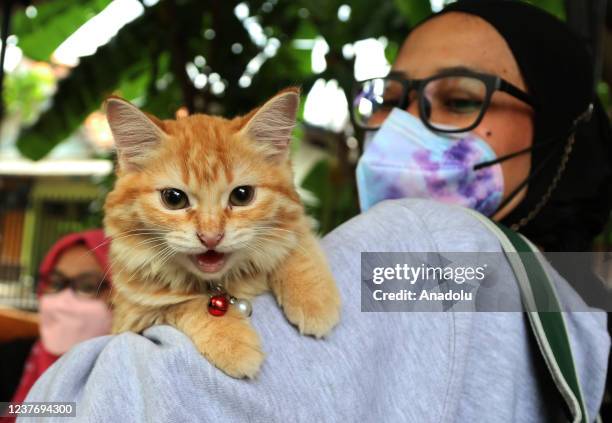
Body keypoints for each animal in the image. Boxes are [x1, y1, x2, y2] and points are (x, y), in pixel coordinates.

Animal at [105, 88, 342, 378]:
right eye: (173, 199)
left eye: (242, 195)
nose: (211, 237)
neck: (221, 283)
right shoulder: (129, 320)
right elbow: (182, 305)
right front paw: (230, 341)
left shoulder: (296, 220)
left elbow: (296, 243)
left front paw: (313, 299)